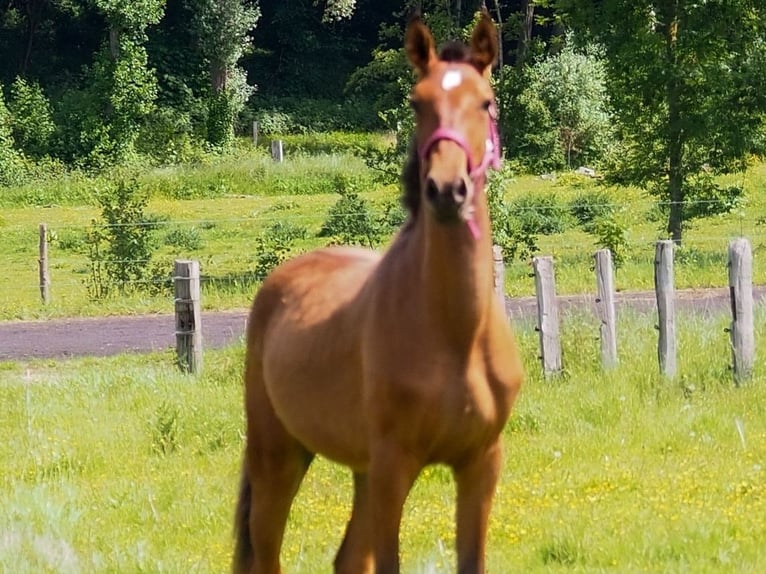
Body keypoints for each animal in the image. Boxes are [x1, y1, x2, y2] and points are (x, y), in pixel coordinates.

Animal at [233, 12, 523, 574]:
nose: (446, 190)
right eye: (417, 102)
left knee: (347, 559)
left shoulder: (481, 464)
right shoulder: (394, 467)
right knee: (265, 549)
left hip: (357, 468)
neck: (455, 333)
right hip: (278, 453)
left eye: (486, 102)